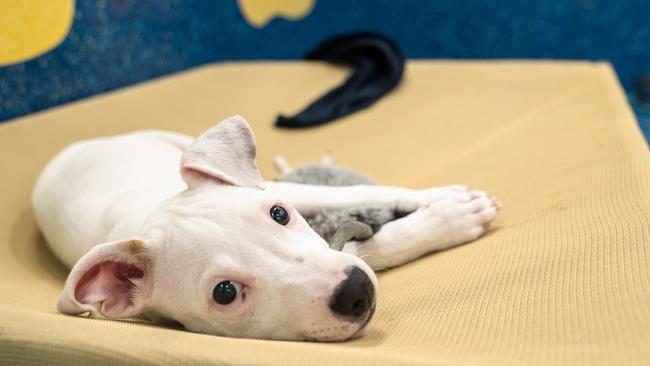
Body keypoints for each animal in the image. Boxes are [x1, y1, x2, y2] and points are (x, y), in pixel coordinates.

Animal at [33, 116, 496, 342]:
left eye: (279, 215)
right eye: (224, 293)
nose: (355, 292)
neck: (145, 215)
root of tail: (69, 150)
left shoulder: (297, 198)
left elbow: (366, 192)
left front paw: (447, 201)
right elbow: (377, 246)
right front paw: (449, 219)